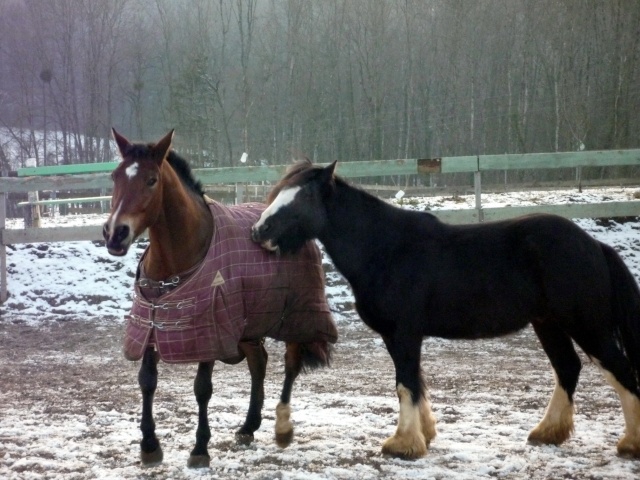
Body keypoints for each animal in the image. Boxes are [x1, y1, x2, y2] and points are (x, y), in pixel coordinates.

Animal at [102, 129, 338, 466]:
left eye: (151, 180)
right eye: (115, 176)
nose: (115, 234)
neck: (176, 260)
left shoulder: (210, 332)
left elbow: (202, 388)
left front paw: (200, 448)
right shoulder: (152, 323)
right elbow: (147, 380)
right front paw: (149, 445)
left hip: (298, 319)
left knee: (290, 365)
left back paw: (280, 428)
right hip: (248, 326)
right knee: (259, 363)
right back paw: (249, 426)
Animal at [252, 159, 640, 460]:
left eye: (304, 196)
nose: (259, 230)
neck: (387, 249)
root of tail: (594, 244)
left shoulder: (405, 333)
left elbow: (405, 384)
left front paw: (403, 444)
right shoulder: (395, 337)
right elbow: (415, 383)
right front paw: (423, 434)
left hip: (587, 326)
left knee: (621, 370)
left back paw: (630, 444)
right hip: (549, 323)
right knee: (568, 368)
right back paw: (547, 433)